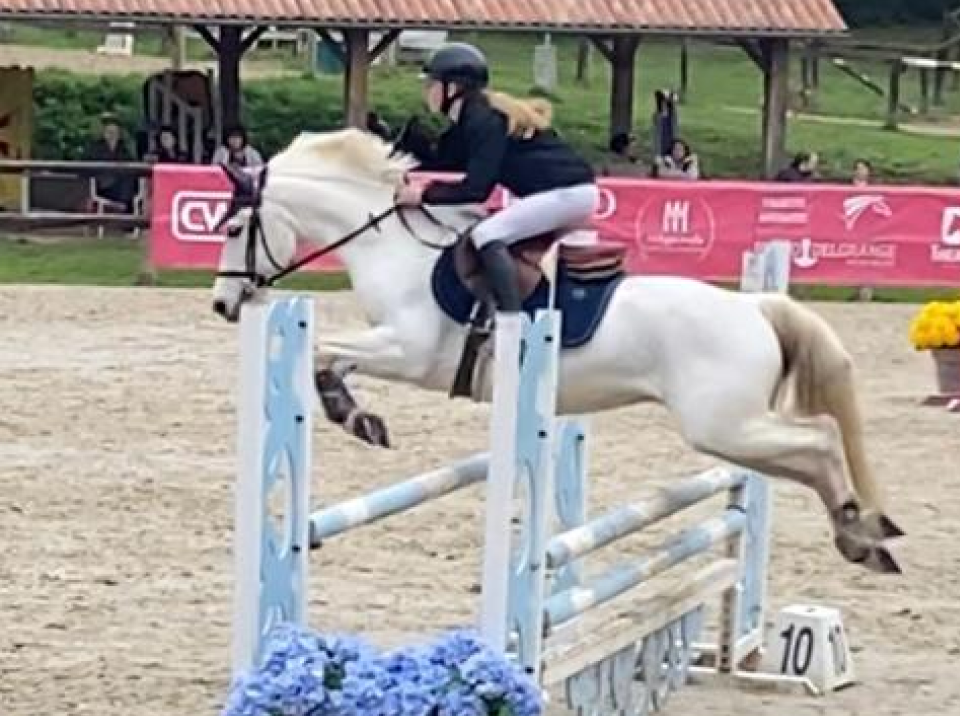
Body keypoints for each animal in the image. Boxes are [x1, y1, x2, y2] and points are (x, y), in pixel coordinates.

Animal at [212, 130, 908, 576]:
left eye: (235, 227)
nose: (222, 304)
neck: (393, 247)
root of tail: (754, 307)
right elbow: (333, 359)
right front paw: (356, 415)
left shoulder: (410, 352)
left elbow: (325, 354)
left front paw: (356, 416)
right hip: (732, 432)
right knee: (805, 456)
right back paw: (863, 534)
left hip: (723, 424)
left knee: (819, 439)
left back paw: (863, 528)